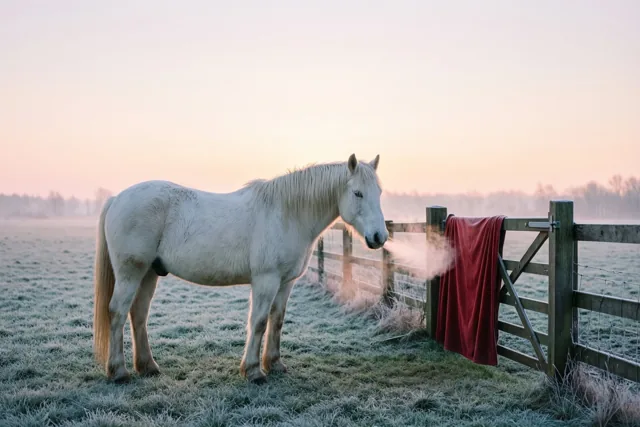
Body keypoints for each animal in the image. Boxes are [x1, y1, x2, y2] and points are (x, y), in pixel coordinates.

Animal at [92, 153, 388, 384]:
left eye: (379, 193)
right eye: (358, 193)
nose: (379, 237)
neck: (287, 214)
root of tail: (117, 198)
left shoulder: (285, 283)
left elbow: (277, 321)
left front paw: (274, 364)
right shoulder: (266, 281)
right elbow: (258, 322)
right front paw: (254, 371)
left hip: (149, 274)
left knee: (138, 315)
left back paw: (148, 367)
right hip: (131, 273)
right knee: (117, 312)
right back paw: (119, 372)